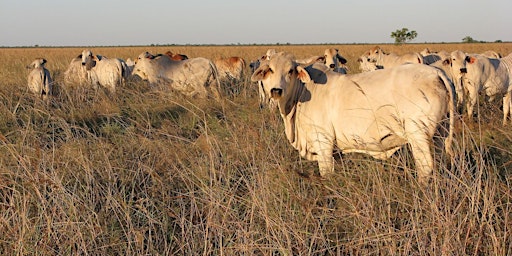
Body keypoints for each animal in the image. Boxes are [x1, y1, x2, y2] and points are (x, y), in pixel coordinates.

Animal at [252, 51, 456, 184]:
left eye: (290, 71)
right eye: (270, 70)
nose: (276, 90)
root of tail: (435, 73)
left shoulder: (323, 144)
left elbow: (326, 174)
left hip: (418, 135)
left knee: (426, 167)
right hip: (439, 134)